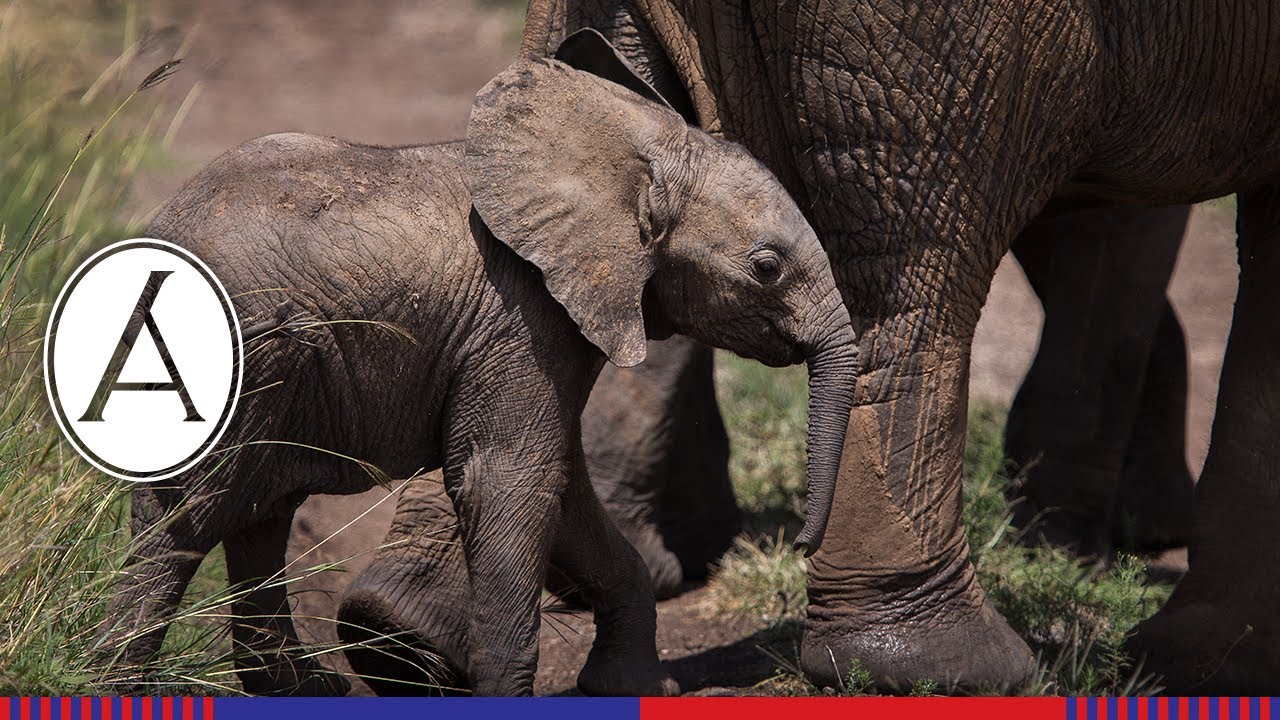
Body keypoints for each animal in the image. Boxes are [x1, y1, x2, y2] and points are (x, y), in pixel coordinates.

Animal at [100, 51, 860, 696]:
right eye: (767, 267)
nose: (800, 544)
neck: (628, 152)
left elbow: (562, 489)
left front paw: (632, 690)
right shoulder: (521, 320)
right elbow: (509, 481)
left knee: (258, 515)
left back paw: (302, 690)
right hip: (238, 362)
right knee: (189, 524)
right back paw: (118, 684)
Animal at [347, 0, 1280, 694]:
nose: (798, 539)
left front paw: (1206, 656)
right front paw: (1198, 655)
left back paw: (403, 640)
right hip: (928, 49)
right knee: (910, 273)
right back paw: (944, 671)